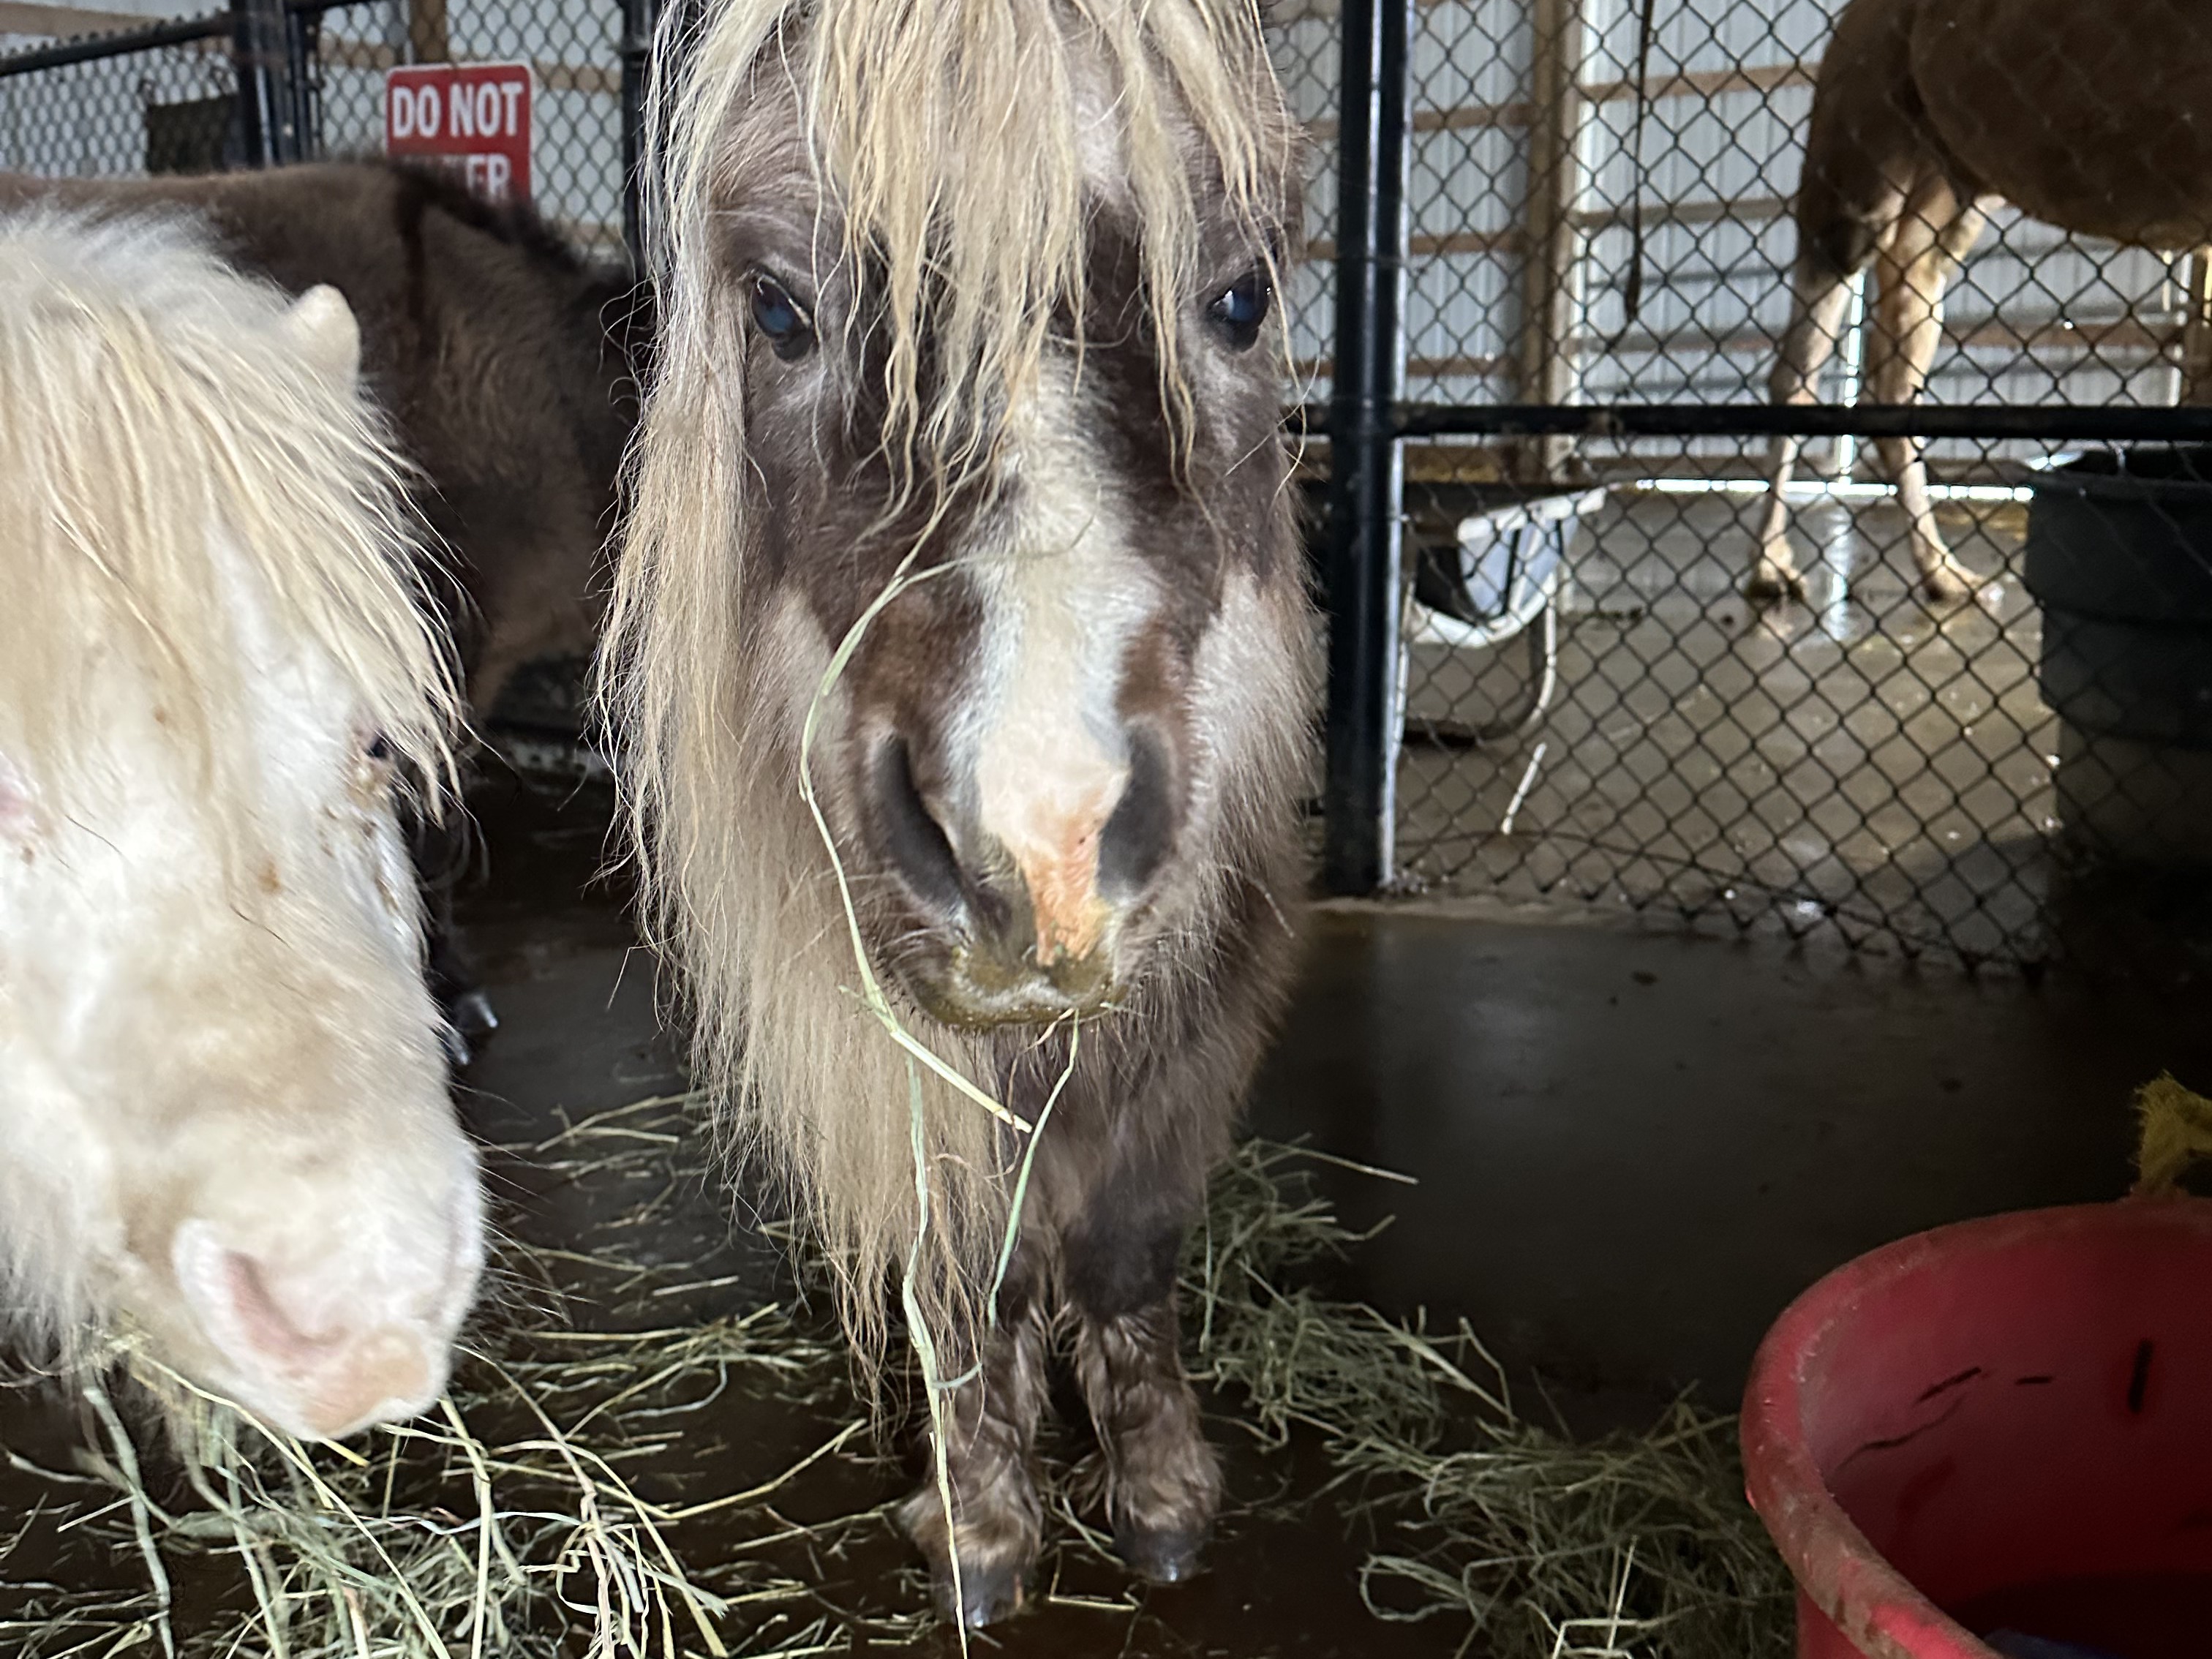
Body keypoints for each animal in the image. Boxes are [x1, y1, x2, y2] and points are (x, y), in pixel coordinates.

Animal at [598, 0, 1310, 1624]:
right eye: (779, 312)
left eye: (1239, 297)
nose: (1039, 854)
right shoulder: (895, 1048)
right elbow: (960, 1274)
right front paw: (980, 1520)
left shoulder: (1194, 1011)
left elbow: (1121, 1243)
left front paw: (1158, 1492)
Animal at [1749, 0, 2212, 604]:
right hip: (1857, 141)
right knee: (1800, 365)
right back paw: (1770, 567)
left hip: (1940, 202)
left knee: (1893, 371)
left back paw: (1944, 574)